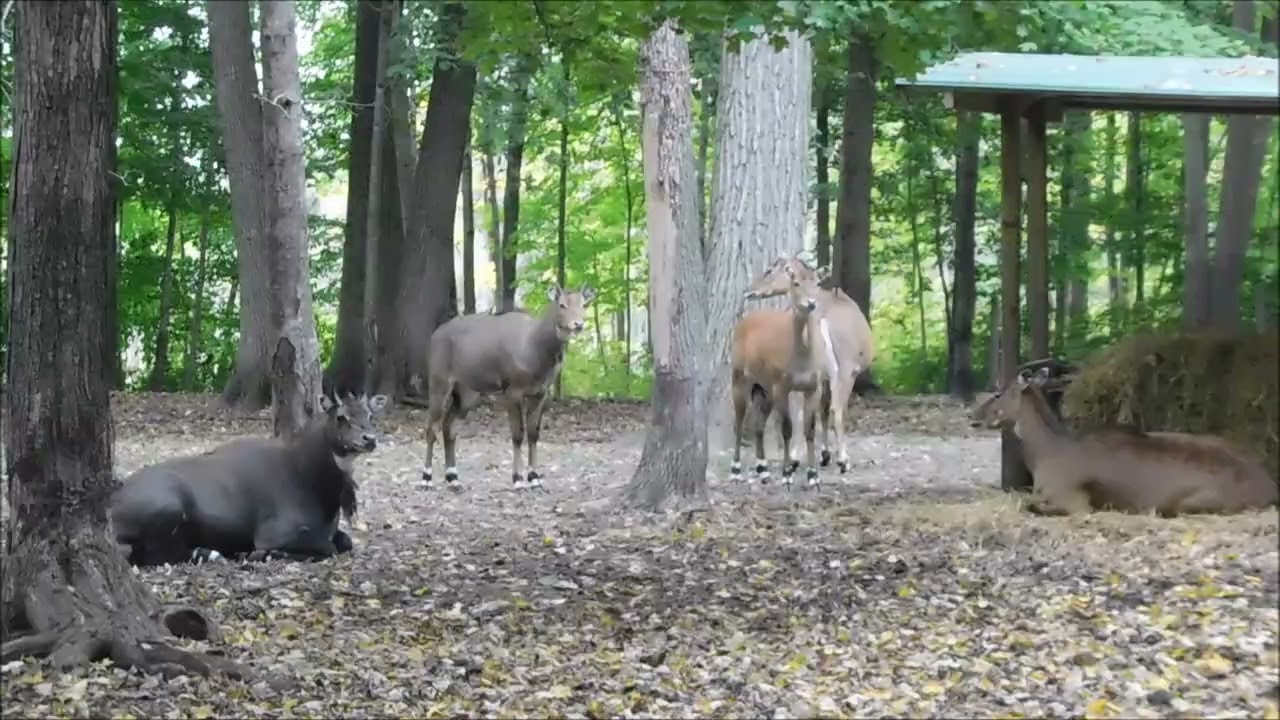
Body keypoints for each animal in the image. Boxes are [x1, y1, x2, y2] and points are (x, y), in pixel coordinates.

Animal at [421, 284, 595, 492]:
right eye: (562, 304)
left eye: (584, 304)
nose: (578, 324)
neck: (536, 349)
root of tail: (434, 336)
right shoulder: (512, 390)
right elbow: (517, 434)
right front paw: (517, 479)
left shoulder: (540, 392)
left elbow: (533, 433)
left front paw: (535, 478)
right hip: (439, 381)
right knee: (431, 427)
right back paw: (426, 478)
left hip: (467, 392)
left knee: (449, 426)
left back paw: (453, 478)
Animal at [729, 264, 828, 488]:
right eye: (796, 282)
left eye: (818, 282)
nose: (811, 302)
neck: (802, 359)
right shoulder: (781, 384)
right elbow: (787, 428)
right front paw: (786, 474)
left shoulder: (814, 386)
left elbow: (809, 428)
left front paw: (813, 476)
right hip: (739, 376)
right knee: (739, 421)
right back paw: (736, 470)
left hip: (763, 387)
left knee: (758, 423)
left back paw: (763, 470)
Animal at [744, 252, 875, 475]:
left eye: (769, 270)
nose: (749, 291)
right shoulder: (843, 372)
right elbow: (828, 410)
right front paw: (828, 455)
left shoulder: (819, 377)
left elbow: (817, 411)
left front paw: (822, 454)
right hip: (845, 369)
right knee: (836, 409)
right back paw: (843, 460)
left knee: (800, 412)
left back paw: (796, 458)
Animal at [970, 367, 1278, 516]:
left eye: (997, 393)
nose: (972, 415)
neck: (1044, 456)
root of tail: (1270, 488)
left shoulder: (1073, 498)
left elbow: (1030, 505)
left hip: (1194, 501)